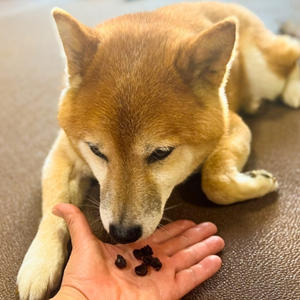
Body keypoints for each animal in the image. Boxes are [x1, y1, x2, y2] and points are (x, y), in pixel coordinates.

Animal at [17, 1, 300, 298]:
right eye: (96, 150)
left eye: (161, 153)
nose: (122, 234)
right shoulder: (65, 151)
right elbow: (54, 206)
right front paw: (39, 263)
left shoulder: (232, 125)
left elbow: (215, 183)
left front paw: (260, 181)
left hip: (264, 69)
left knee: (291, 49)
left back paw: (293, 89)